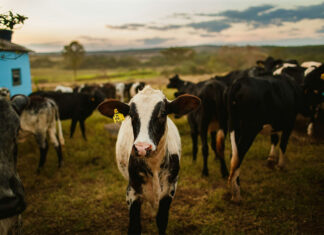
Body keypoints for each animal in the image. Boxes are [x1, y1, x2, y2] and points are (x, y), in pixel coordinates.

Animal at [98, 86, 200, 235]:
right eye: (131, 115)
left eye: (163, 113)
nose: (142, 148)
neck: (154, 165)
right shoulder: (132, 191)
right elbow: (134, 227)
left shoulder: (170, 190)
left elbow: (161, 221)